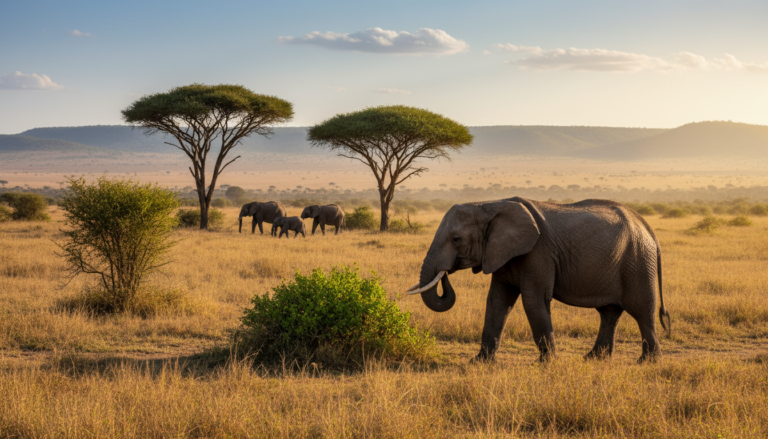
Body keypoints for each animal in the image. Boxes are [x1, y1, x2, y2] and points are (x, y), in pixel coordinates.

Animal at [406, 197, 671, 363]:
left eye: (456, 240)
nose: (446, 273)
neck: (488, 204)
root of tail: (649, 229)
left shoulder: (537, 252)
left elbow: (533, 301)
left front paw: (546, 363)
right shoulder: (502, 253)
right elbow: (497, 302)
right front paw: (479, 362)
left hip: (638, 262)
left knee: (642, 311)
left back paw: (647, 362)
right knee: (609, 313)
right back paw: (593, 359)